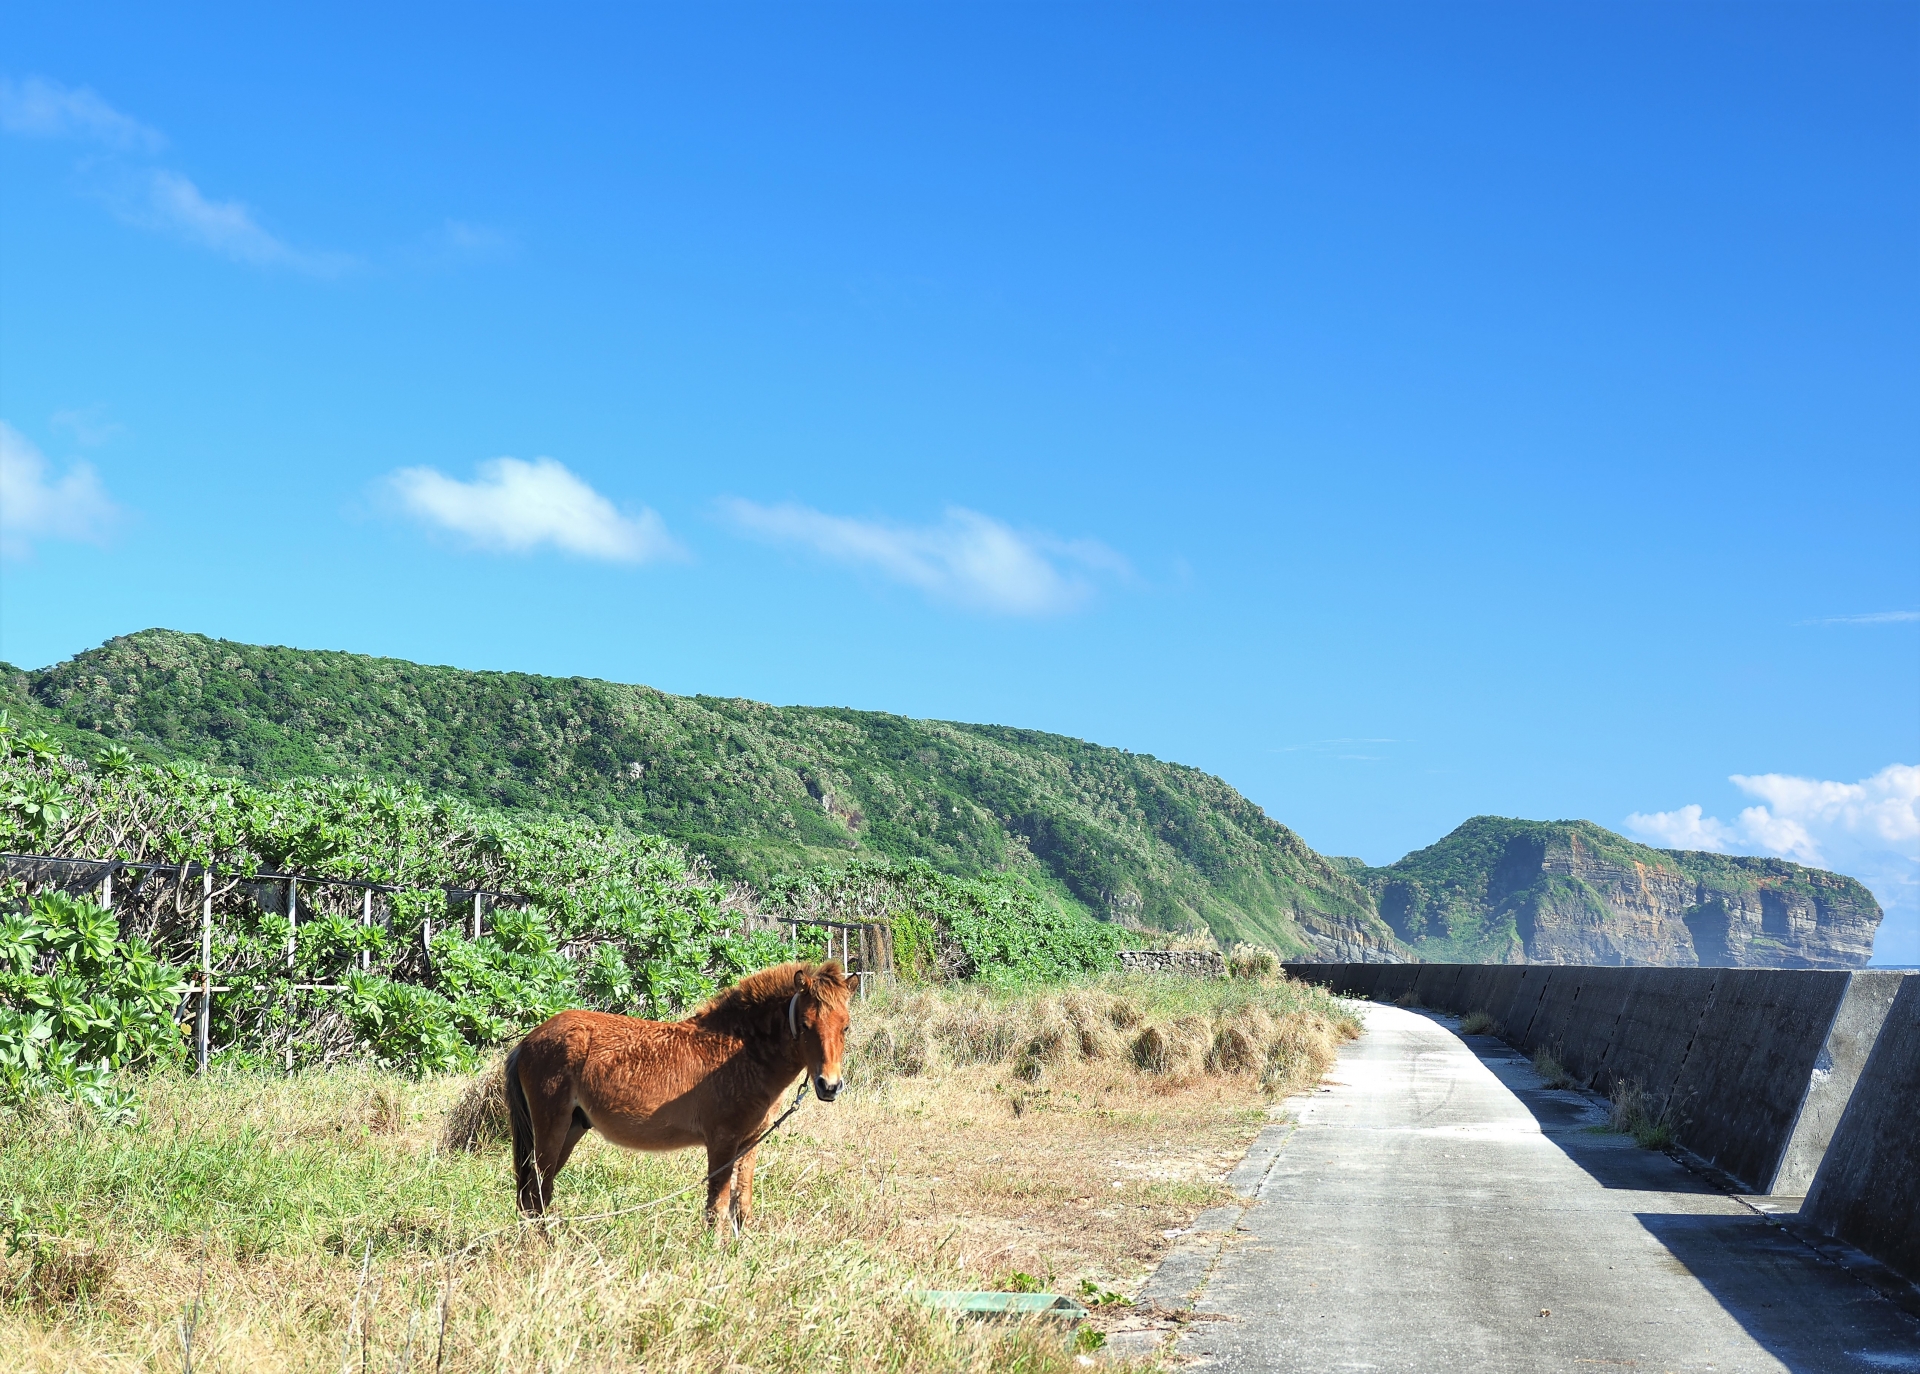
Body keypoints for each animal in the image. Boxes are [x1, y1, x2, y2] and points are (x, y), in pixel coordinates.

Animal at [506, 967, 852, 1220]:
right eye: (805, 1024)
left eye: (846, 1026)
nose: (829, 1086)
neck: (740, 1051)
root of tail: (528, 1041)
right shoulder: (722, 1142)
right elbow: (717, 1207)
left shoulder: (749, 1143)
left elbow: (741, 1206)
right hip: (552, 1129)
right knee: (535, 1194)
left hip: (572, 1129)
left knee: (538, 1195)